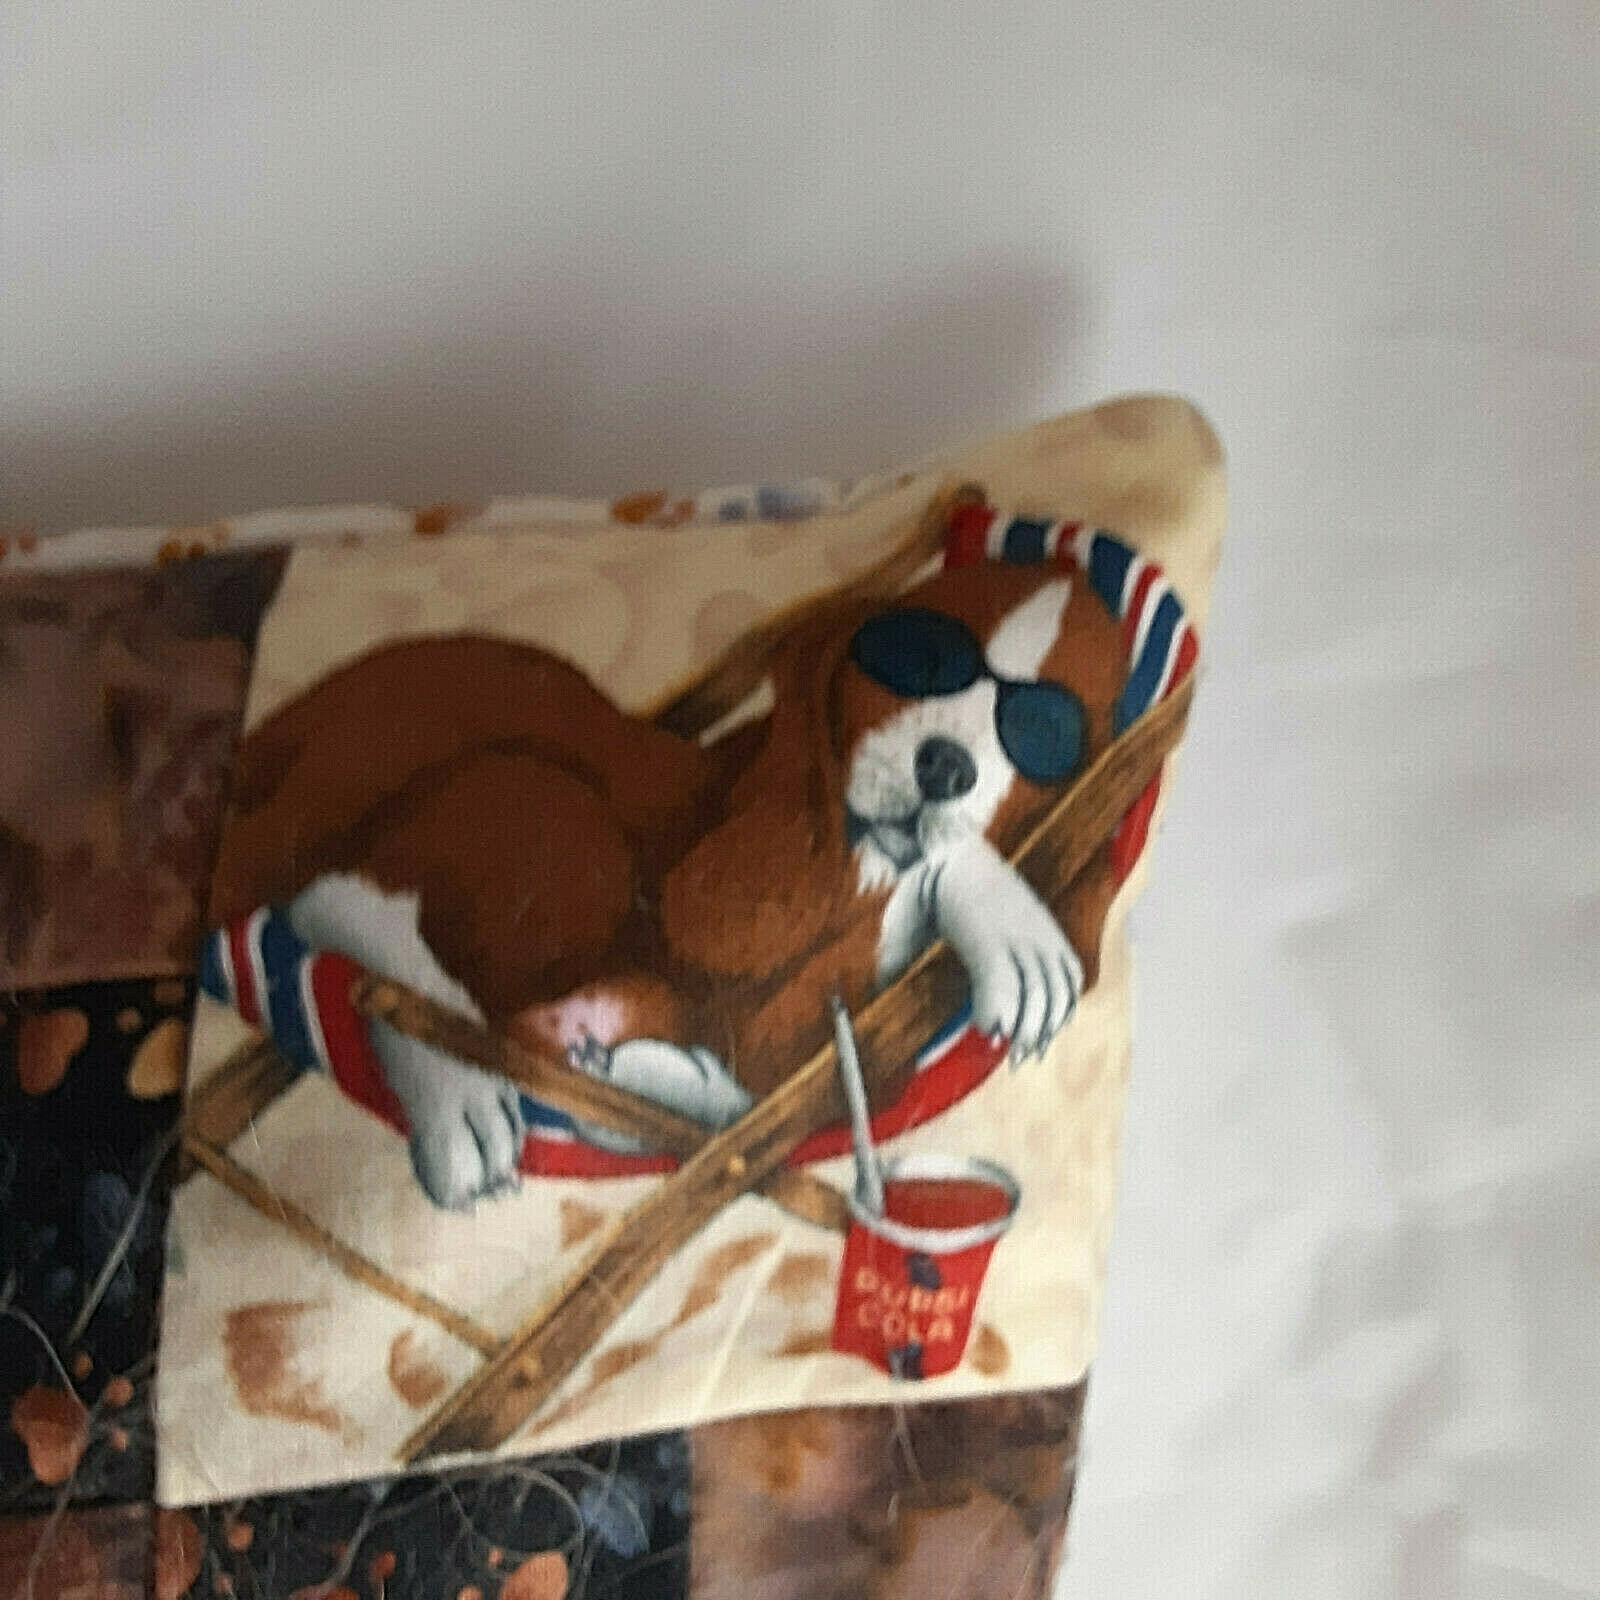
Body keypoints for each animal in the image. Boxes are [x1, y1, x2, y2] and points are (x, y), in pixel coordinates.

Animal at [207, 543, 1136, 1210]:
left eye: (1043, 729)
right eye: (918, 656)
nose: (945, 766)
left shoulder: (798, 1031)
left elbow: (810, 1049)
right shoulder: (720, 887)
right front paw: (1005, 918)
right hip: (546, 814)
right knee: (346, 908)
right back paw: (460, 1090)